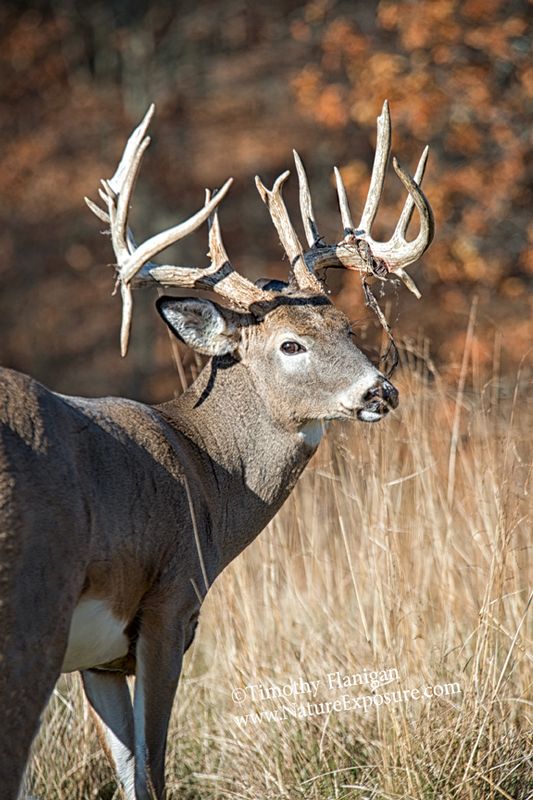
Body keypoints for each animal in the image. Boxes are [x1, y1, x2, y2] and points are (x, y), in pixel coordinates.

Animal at [0, 101, 433, 800]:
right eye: (290, 344)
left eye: (346, 326)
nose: (381, 390)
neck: (205, 473)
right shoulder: (169, 605)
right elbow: (154, 771)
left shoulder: (100, 660)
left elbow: (130, 774)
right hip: (33, 598)